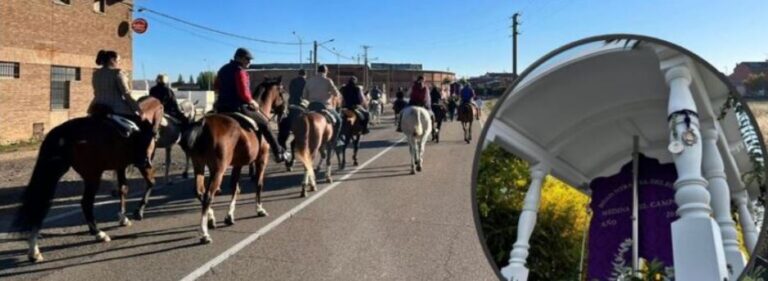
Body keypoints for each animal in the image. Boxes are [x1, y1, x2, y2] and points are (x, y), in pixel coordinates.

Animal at [11, 97, 164, 262]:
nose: (157, 134)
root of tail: (64, 131)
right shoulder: (143, 164)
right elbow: (151, 183)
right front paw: (138, 211)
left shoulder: (120, 166)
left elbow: (123, 189)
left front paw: (123, 218)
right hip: (93, 176)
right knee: (86, 203)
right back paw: (98, 233)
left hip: (55, 171)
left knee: (40, 204)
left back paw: (34, 250)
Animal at [182, 76, 284, 243]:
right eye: (282, 91)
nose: (284, 111)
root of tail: (202, 123)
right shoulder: (261, 159)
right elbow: (259, 184)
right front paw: (259, 209)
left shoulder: (237, 164)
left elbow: (235, 187)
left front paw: (229, 216)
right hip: (218, 169)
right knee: (208, 196)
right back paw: (204, 233)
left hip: (199, 166)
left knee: (200, 192)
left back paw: (210, 219)